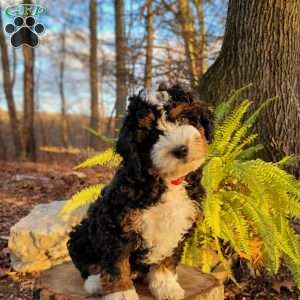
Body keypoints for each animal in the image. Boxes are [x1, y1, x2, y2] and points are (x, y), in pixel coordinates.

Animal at [67, 84, 213, 300]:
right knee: (86, 264)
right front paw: (122, 293)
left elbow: (168, 258)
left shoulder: (177, 224)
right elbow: (117, 263)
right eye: (152, 134)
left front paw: (166, 286)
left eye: (183, 119)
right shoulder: (116, 224)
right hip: (81, 234)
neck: (165, 180)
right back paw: (95, 282)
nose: (180, 149)